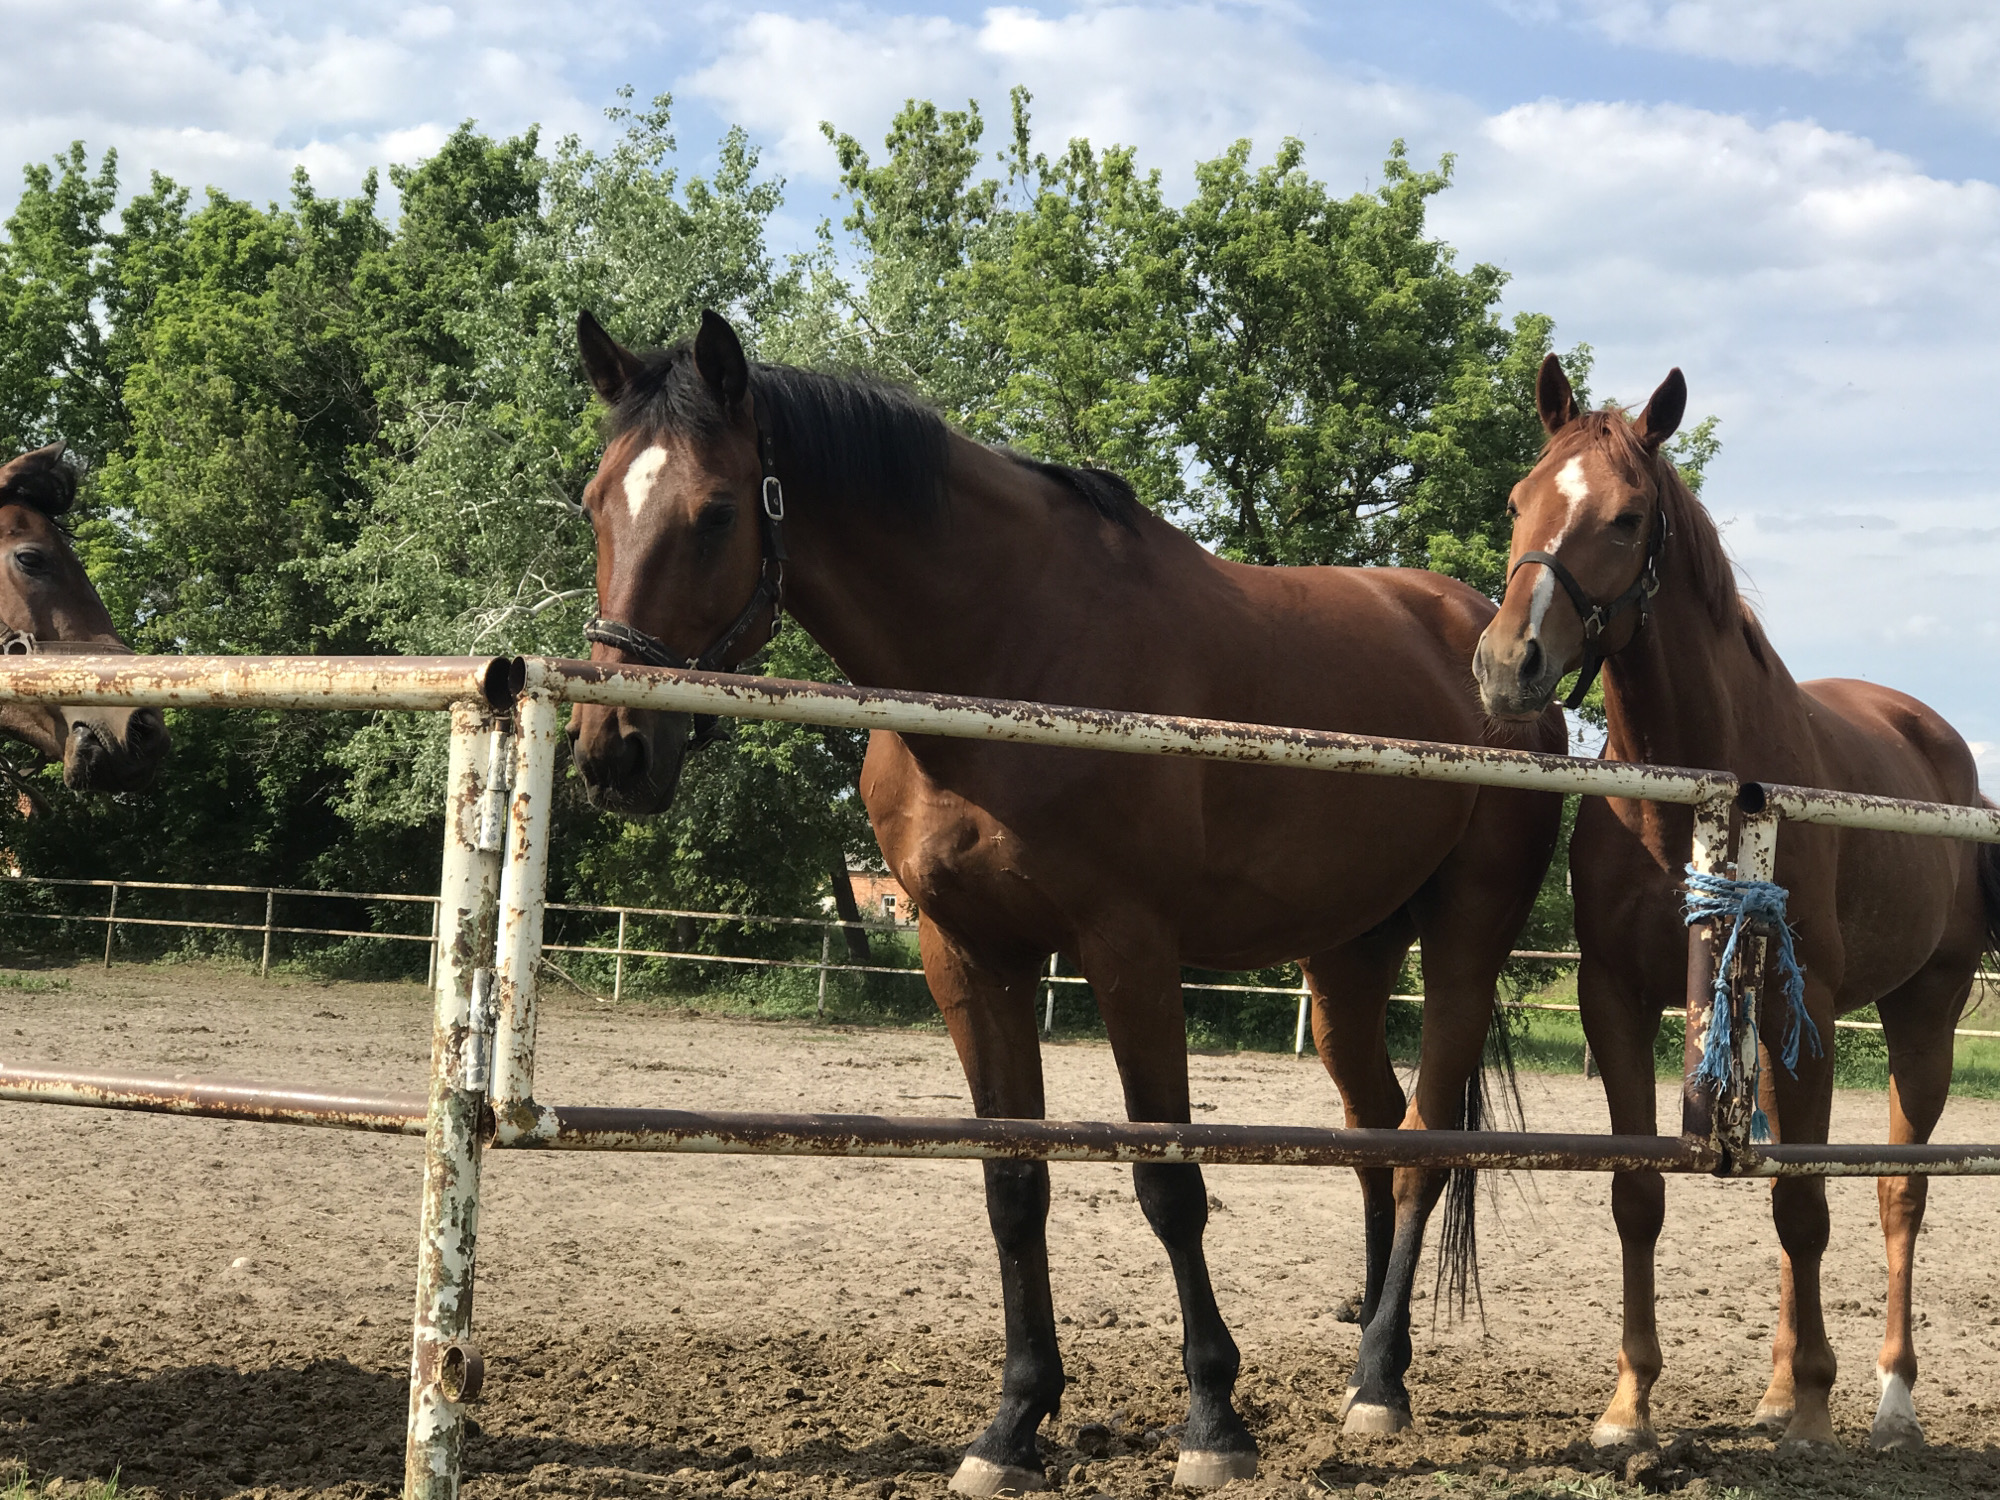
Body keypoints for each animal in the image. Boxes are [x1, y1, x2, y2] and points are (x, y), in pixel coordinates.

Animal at [565, 308, 1566, 1490]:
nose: (611, 751)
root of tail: (1488, 639)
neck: (1010, 652)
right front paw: (1012, 1424)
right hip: (1346, 960)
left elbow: (1167, 1185)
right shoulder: (970, 953)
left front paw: (1212, 1422)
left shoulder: (1129, 951)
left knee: (1422, 1149)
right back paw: (1378, 1355)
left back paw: (1375, 1388)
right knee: (1375, 1131)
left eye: (715, 512)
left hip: (1462, 946)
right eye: (595, 502)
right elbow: (1013, 1186)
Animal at [1473, 356, 2000, 1454]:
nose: (1507, 666)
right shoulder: (1616, 1000)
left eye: (1627, 517)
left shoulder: (1817, 1014)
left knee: (1897, 1193)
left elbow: (1806, 1209)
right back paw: (1772, 1389)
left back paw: (1888, 1400)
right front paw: (1627, 1409)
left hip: (1920, 1013)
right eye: (1516, 500)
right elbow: (1639, 1194)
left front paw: (1814, 1410)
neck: (1693, 794)